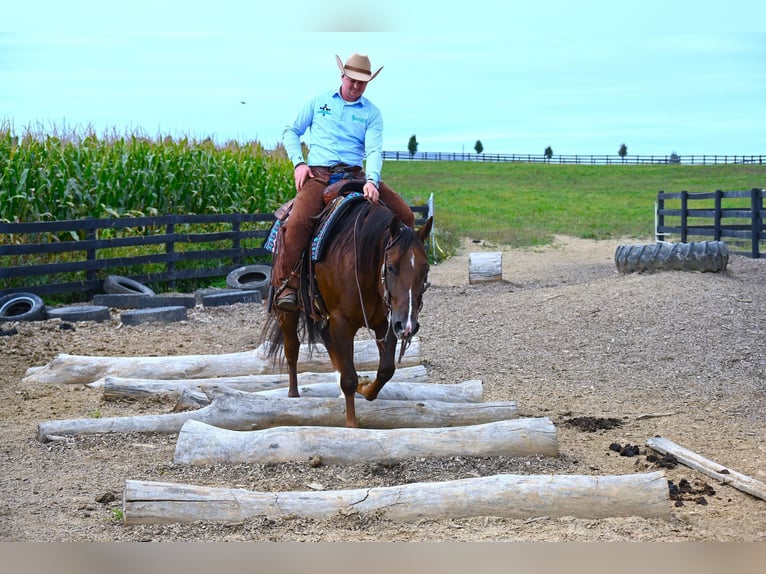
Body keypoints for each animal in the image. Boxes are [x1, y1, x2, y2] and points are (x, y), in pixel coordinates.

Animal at [264, 187, 432, 430]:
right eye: (391, 267)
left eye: (425, 269)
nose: (408, 326)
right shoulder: (343, 321)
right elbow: (350, 378)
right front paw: (352, 424)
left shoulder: (387, 321)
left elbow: (386, 369)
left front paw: (365, 388)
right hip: (287, 311)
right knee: (292, 348)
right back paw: (293, 394)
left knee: (326, 339)